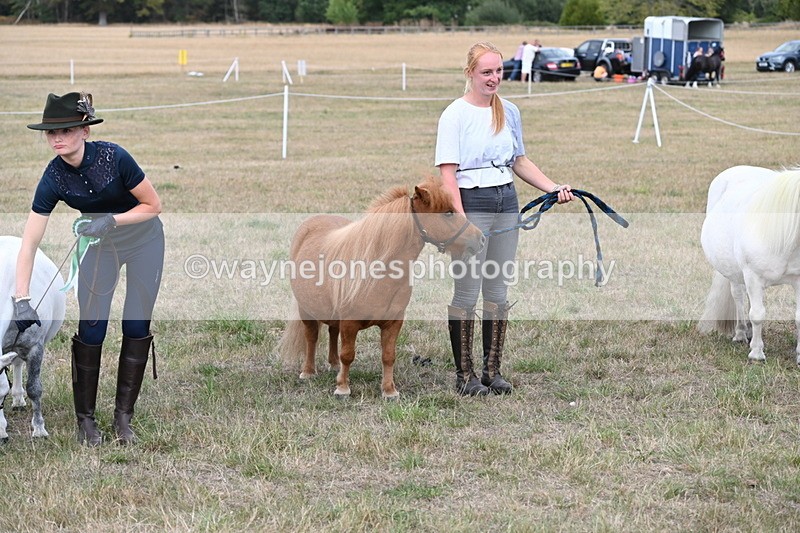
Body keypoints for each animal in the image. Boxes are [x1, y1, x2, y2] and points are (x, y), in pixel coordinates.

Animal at [279, 176, 485, 399]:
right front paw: (342, 387)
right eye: (448, 212)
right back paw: (308, 372)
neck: (377, 273)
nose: (481, 239)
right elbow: (348, 354)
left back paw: (333, 365)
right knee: (312, 337)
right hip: (306, 310)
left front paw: (389, 390)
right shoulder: (349, 323)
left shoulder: (393, 323)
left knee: (332, 332)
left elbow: (388, 356)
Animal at [698, 166, 800, 365]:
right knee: (738, 296)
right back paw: (740, 333)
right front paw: (757, 353)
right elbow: (757, 314)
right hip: (734, 272)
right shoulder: (753, 276)